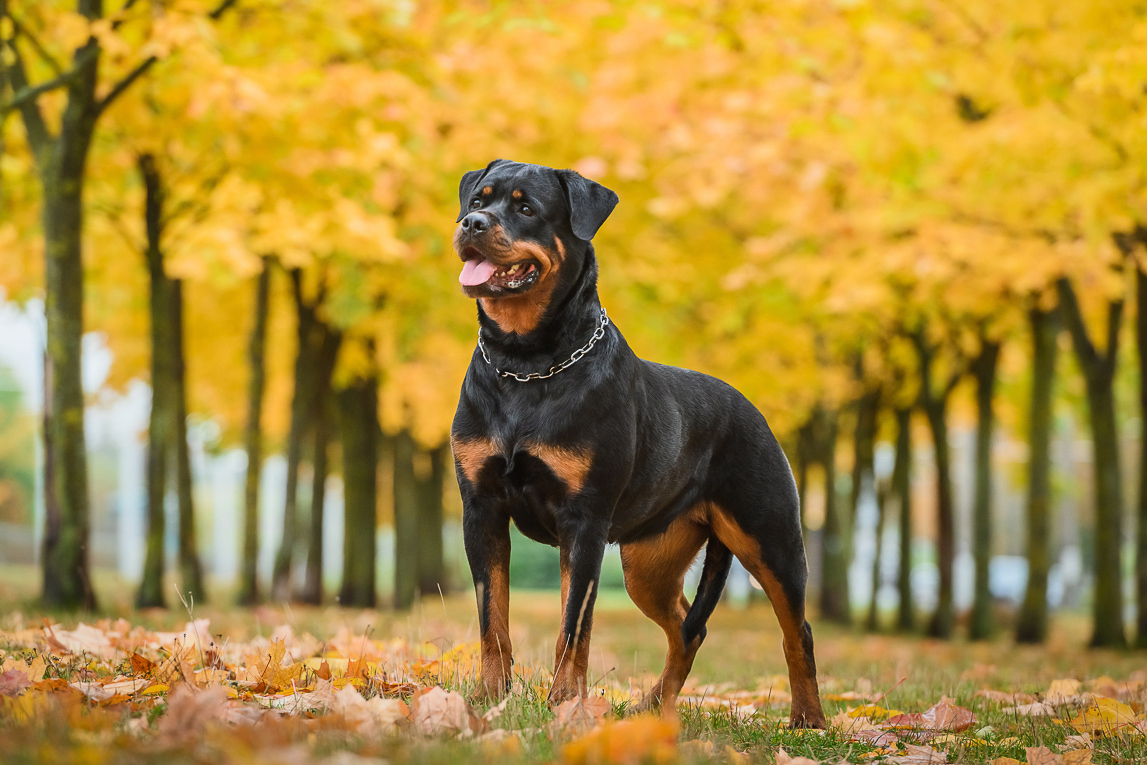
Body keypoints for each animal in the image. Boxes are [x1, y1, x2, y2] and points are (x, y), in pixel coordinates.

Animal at [447, 158, 825, 729]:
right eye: (477, 200)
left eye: (526, 208)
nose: (472, 224)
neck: (526, 362)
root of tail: (752, 409)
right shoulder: (481, 509)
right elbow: (493, 619)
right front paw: (489, 699)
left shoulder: (584, 521)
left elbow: (573, 627)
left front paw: (564, 707)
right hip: (648, 562)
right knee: (687, 627)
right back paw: (653, 707)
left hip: (771, 539)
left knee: (795, 630)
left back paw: (809, 719)